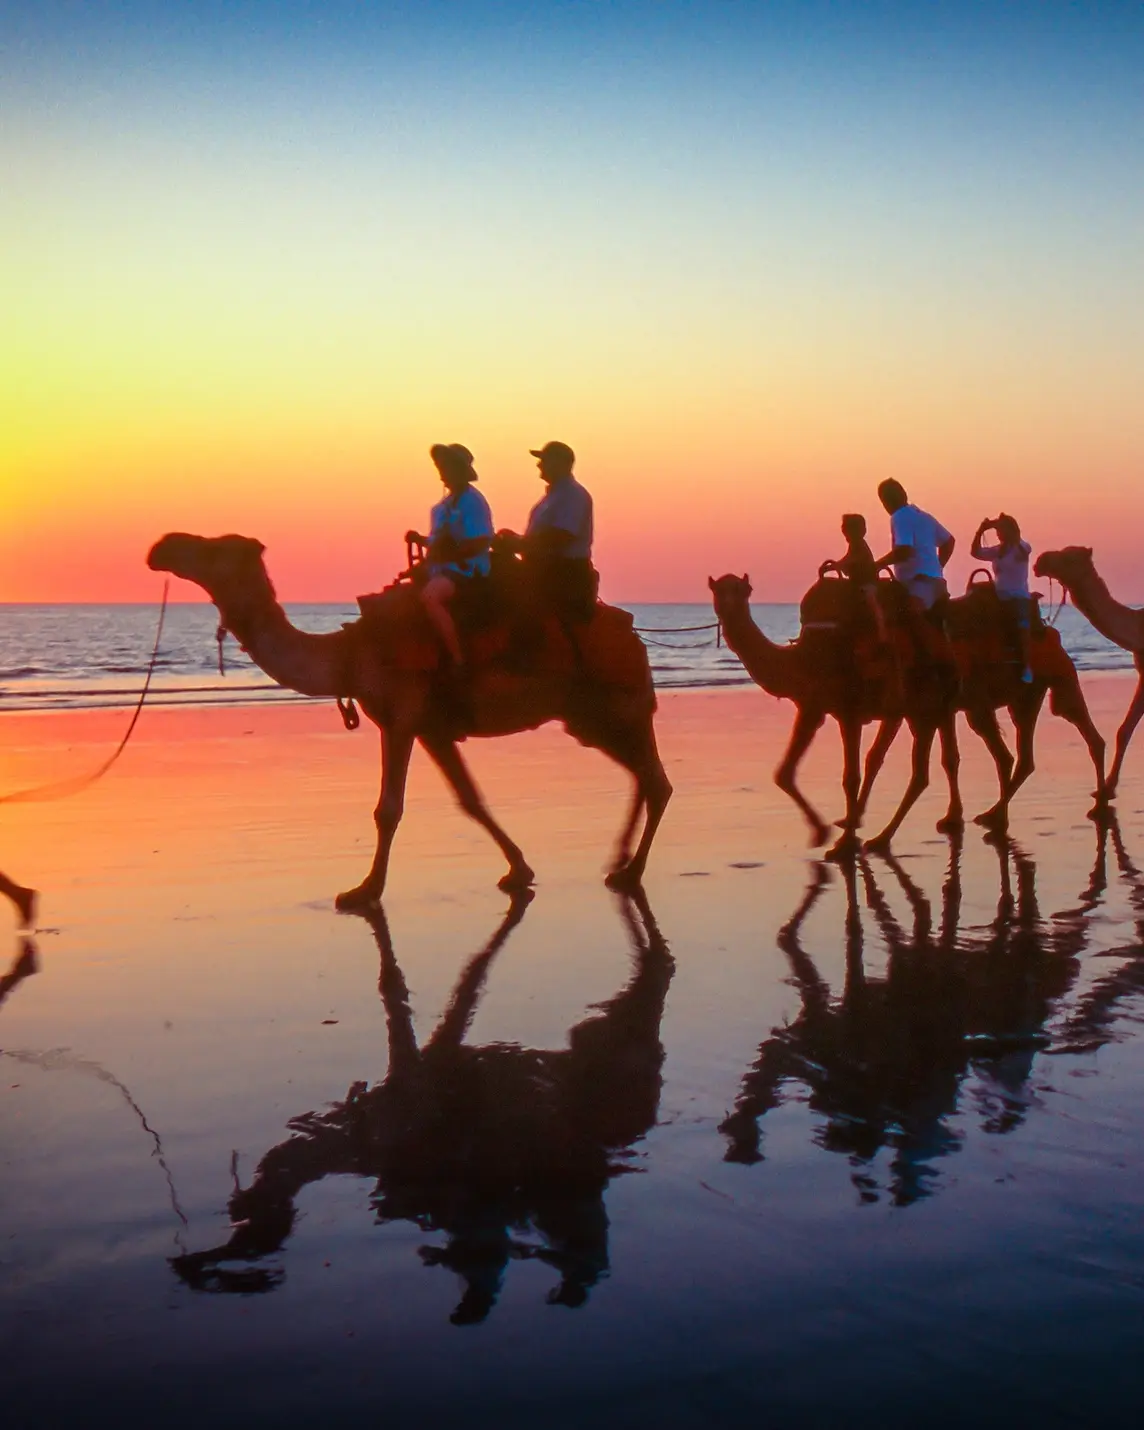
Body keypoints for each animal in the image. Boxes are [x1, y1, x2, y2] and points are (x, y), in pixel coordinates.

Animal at [148, 537, 674, 903]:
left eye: (216, 546)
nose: (162, 546)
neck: (350, 653)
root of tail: (634, 634)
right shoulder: (431, 728)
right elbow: (470, 799)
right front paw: (518, 870)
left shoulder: (401, 716)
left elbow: (388, 809)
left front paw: (363, 891)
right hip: (587, 716)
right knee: (643, 776)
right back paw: (620, 861)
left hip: (615, 702)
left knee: (656, 781)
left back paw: (630, 871)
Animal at [706, 572, 1109, 857]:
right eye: (716, 591)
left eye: (741, 590)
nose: (726, 609)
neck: (808, 654)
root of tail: (1047, 628)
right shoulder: (821, 707)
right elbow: (792, 771)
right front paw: (834, 827)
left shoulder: (852, 709)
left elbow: (854, 772)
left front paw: (843, 837)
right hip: (995, 699)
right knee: (1011, 755)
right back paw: (991, 817)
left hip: (1042, 681)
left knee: (1073, 735)